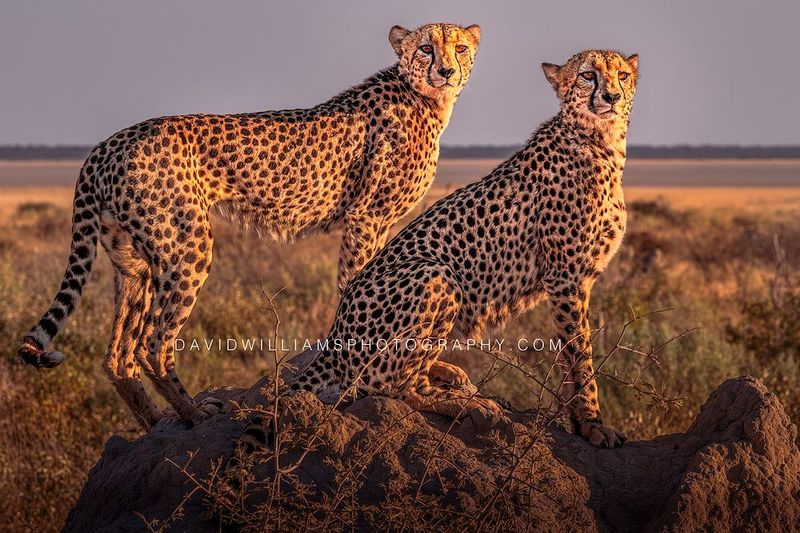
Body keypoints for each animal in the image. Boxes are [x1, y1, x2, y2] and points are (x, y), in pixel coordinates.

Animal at [16, 22, 482, 430]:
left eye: (459, 48)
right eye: (426, 48)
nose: (446, 71)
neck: (425, 99)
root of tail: (108, 142)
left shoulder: (374, 222)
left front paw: (435, 368)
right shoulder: (367, 217)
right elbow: (356, 283)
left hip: (134, 261)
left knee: (118, 355)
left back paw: (154, 420)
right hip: (188, 245)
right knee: (153, 342)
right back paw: (195, 413)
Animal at [273, 49, 639, 449]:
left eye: (622, 75)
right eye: (588, 75)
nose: (612, 97)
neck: (601, 140)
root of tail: (335, 334)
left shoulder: (572, 281)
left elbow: (571, 357)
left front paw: (580, 421)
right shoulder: (565, 279)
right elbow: (580, 354)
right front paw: (592, 424)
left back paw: (449, 375)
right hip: (435, 275)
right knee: (394, 388)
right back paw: (469, 405)